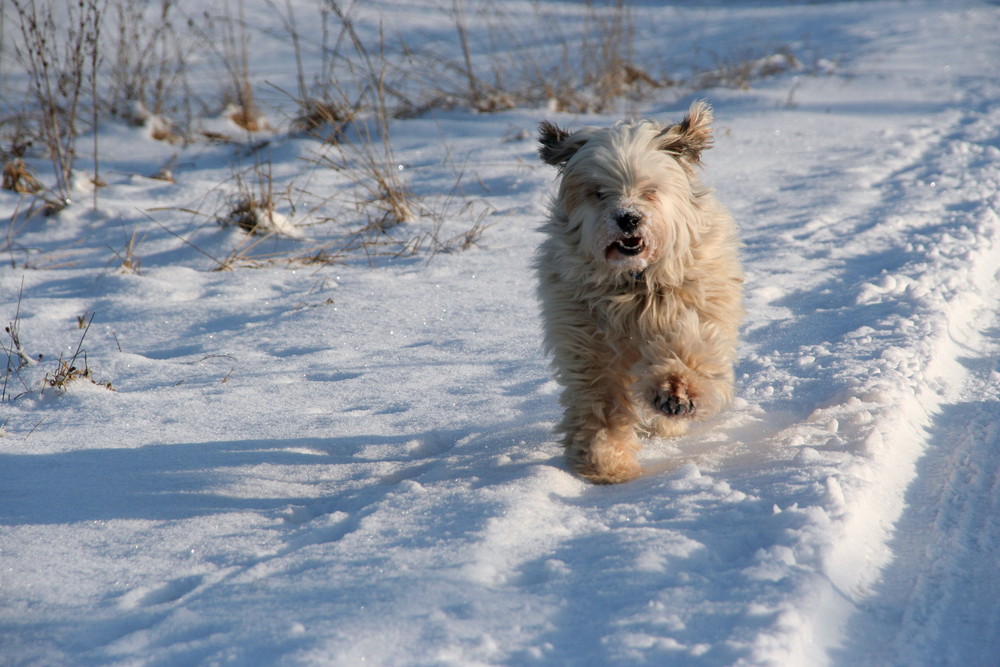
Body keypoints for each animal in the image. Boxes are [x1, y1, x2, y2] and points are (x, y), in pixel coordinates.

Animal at [532, 100, 744, 486]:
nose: (628, 218)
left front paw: (676, 391)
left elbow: (686, 346)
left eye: (650, 189)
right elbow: (598, 399)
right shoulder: (585, 340)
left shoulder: (692, 308)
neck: (633, 282)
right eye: (599, 192)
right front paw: (604, 461)